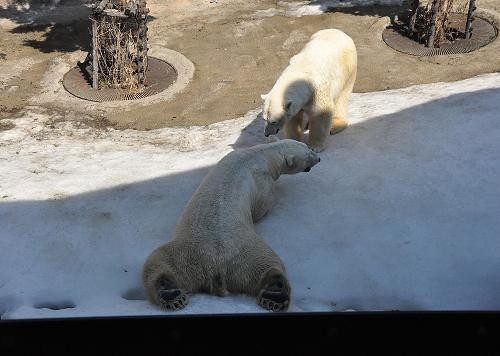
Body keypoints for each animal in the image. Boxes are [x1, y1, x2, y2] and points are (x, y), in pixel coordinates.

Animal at [142, 139, 320, 312]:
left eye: (308, 147)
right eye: (309, 153)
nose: (318, 158)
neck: (262, 154)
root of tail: (215, 266)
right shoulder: (263, 183)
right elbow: (262, 206)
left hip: (187, 259)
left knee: (160, 263)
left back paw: (169, 292)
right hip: (240, 252)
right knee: (269, 263)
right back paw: (275, 294)